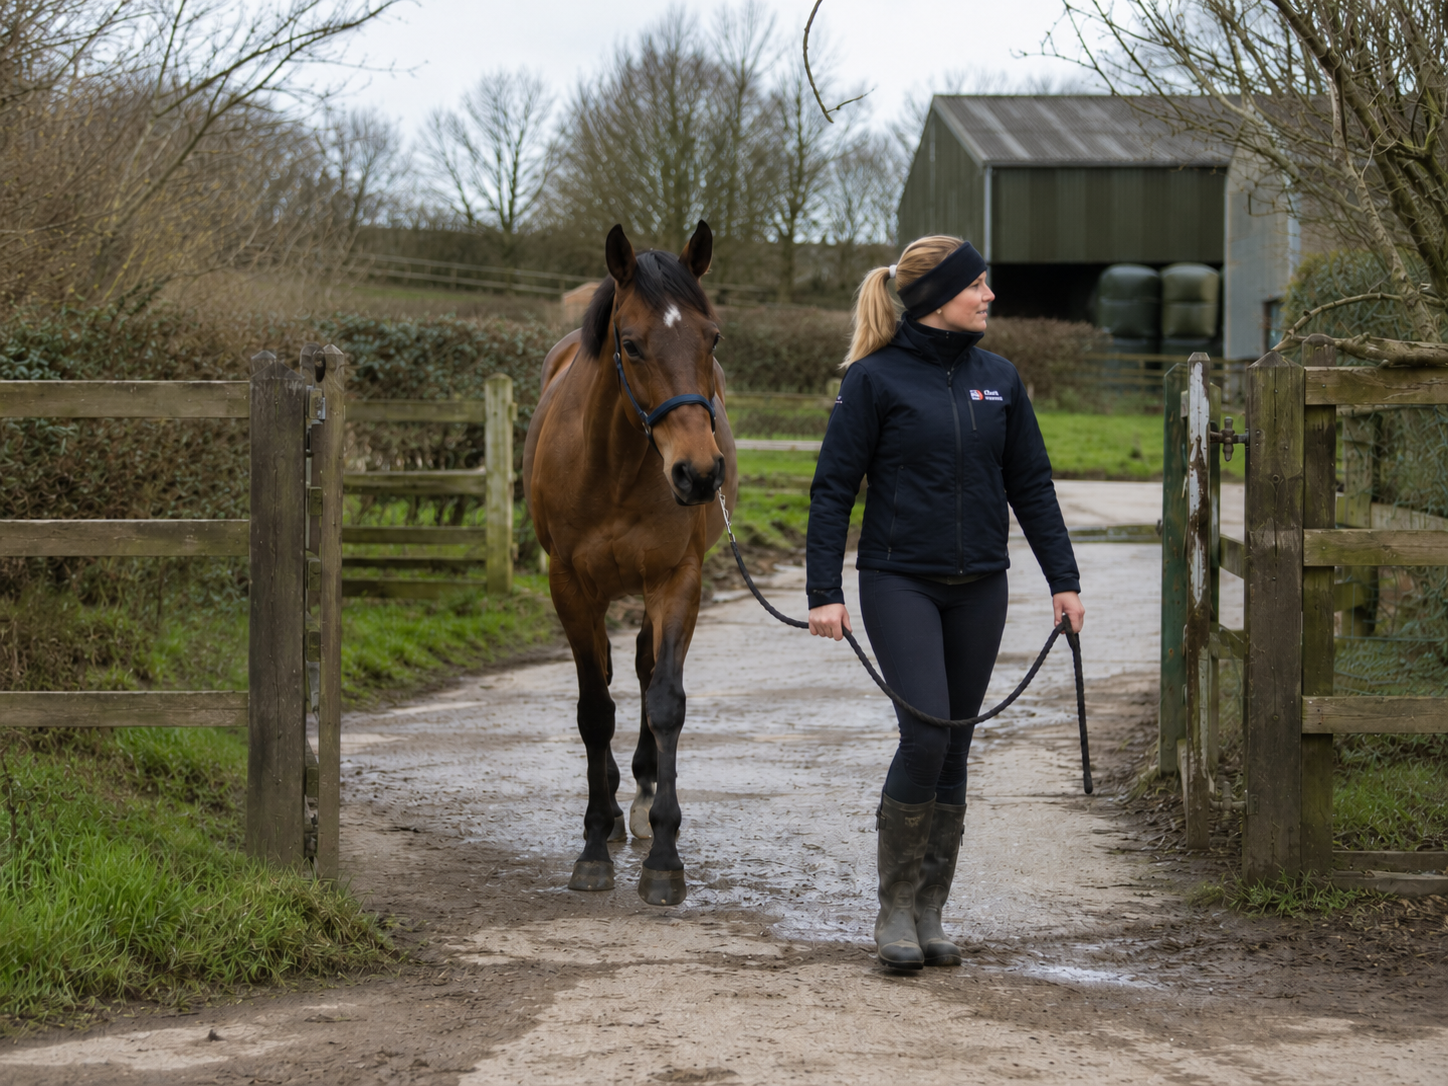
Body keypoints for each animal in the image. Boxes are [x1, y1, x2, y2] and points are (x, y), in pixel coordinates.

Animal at [523, 220, 738, 906]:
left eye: (711, 338)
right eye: (631, 344)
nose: (699, 473)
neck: (612, 467)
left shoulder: (676, 580)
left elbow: (665, 698)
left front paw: (665, 858)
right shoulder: (568, 584)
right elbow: (595, 709)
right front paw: (593, 844)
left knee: (644, 668)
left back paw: (639, 796)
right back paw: (616, 806)